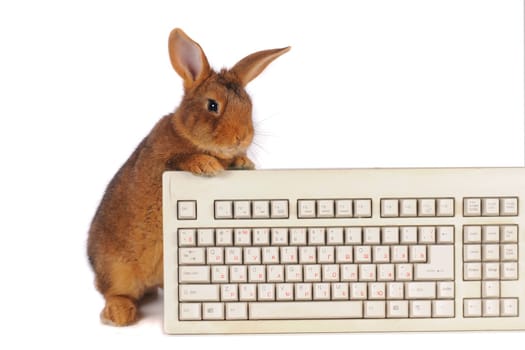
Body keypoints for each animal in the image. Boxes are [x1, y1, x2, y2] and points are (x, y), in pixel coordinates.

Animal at [87, 27, 290, 326]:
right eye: (213, 105)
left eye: (249, 105)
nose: (242, 137)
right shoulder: (161, 164)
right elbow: (183, 159)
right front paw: (207, 165)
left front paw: (244, 162)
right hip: (117, 269)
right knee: (113, 292)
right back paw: (120, 314)